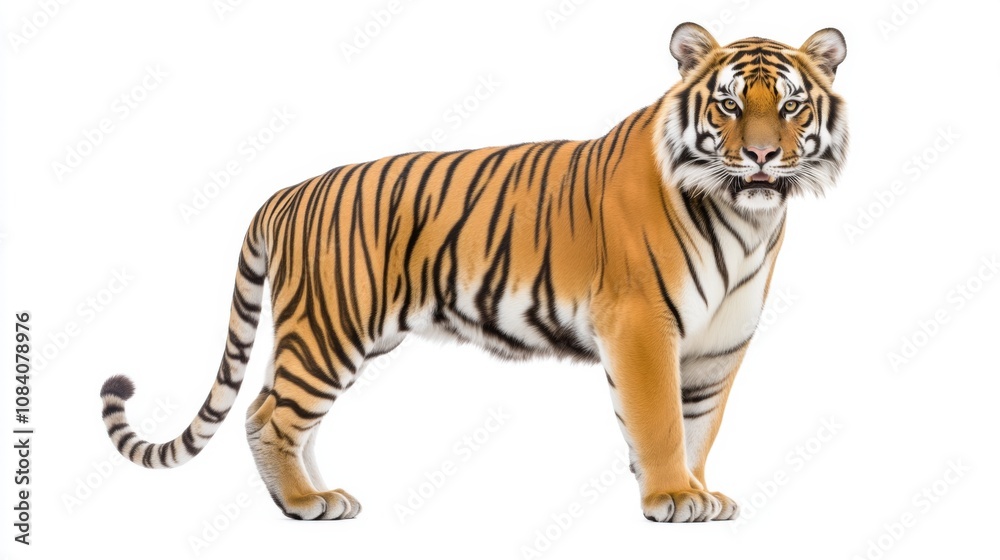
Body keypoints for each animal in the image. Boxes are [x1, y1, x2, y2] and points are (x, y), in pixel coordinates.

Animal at [99, 22, 847, 523]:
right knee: (268, 414)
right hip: (329, 329)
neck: (746, 220)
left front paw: (696, 492)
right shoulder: (640, 324)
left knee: (278, 409)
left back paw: (324, 492)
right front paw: (670, 496)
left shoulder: (720, 344)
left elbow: (699, 424)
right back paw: (305, 503)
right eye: (728, 104)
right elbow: (660, 418)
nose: (760, 157)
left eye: (789, 106)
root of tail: (286, 193)